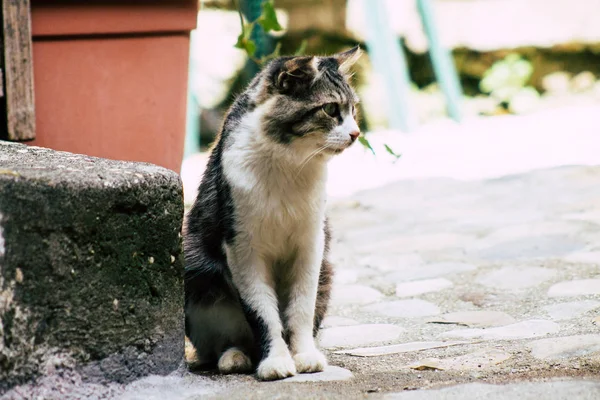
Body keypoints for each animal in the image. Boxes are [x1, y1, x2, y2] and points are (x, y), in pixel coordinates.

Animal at [183, 47, 360, 382]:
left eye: (353, 109)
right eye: (331, 109)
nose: (356, 133)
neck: (289, 162)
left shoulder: (311, 243)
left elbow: (301, 308)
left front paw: (304, 355)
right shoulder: (242, 249)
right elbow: (262, 314)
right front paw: (275, 360)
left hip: (327, 271)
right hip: (195, 272)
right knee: (221, 344)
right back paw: (235, 357)